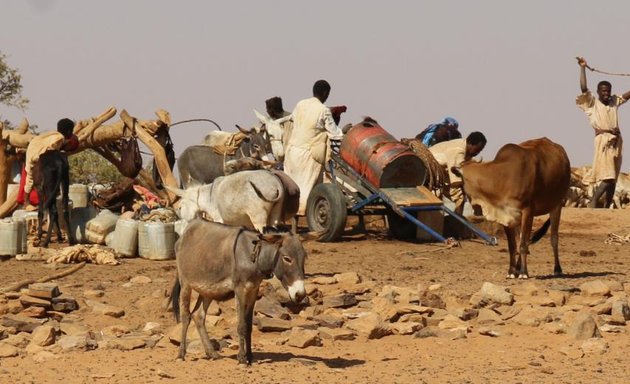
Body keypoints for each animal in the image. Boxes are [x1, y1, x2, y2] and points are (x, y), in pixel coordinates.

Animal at [454, 138, 572, 280]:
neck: (502, 178)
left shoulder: (528, 211)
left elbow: (523, 244)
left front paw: (523, 272)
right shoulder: (506, 215)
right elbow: (513, 245)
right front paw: (511, 271)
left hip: (557, 205)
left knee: (553, 238)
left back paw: (557, 269)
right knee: (524, 239)